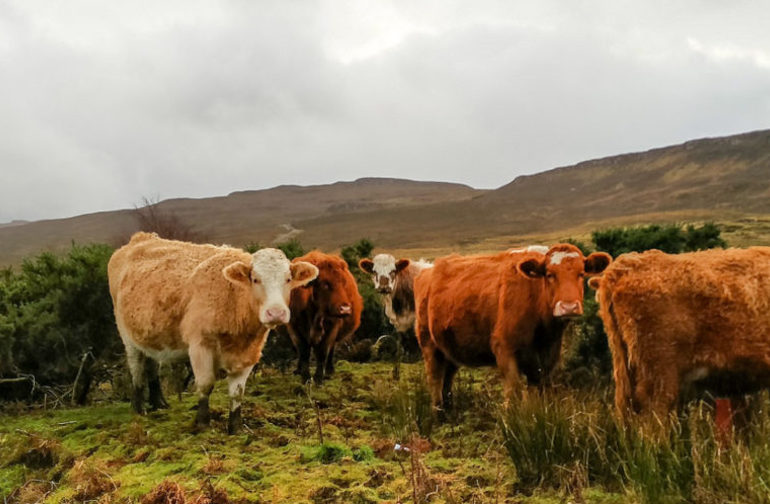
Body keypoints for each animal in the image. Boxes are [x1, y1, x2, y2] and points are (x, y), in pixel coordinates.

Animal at [108, 232, 318, 433]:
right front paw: (202, 423)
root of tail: (140, 238)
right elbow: (205, 384)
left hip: (150, 336)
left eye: (288, 279)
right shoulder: (200, 346)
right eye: (255, 279)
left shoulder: (249, 353)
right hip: (127, 336)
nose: (276, 312)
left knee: (151, 364)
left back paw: (159, 402)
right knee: (136, 368)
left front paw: (236, 427)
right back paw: (138, 408)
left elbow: (237, 392)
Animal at [281, 251, 363, 383]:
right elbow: (303, 352)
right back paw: (298, 370)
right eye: (325, 284)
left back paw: (329, 370)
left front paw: (319, 377)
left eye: (344, 282)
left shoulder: (332, 327)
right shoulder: (294, 328)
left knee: (330, 350)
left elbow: (323, 352)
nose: (345, 309)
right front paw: (305, 377)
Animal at [414, 244, 611, 411]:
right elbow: (514, 395)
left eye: (581, 274)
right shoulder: (504, 350)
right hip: (429, 345)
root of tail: (428, 270)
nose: (568, 307)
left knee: (446, 380)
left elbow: (542, 393)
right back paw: (438, 413)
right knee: (435, 379)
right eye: (549, 274)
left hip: (450, 349)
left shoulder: (549, 356)